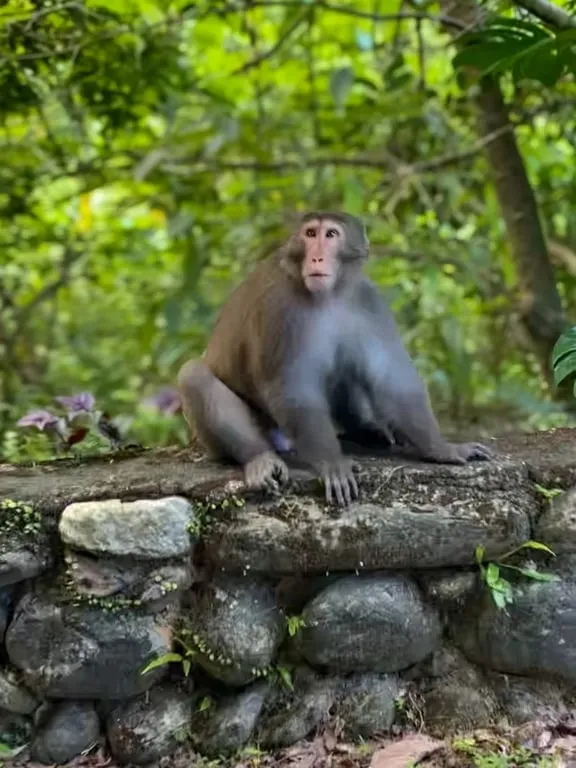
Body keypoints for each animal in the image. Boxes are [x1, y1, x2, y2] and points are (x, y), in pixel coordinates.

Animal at [177, 211, 492, 506]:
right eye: (310, 233)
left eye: (330, 234)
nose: (316, 257)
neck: (329, 295)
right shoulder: (281, 307)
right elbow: (292, 388)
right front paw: (332, 463)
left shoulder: (368, 300)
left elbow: (391, 379)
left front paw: (442, 448)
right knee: (193, 375)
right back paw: (260, 458)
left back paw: (368, 431)